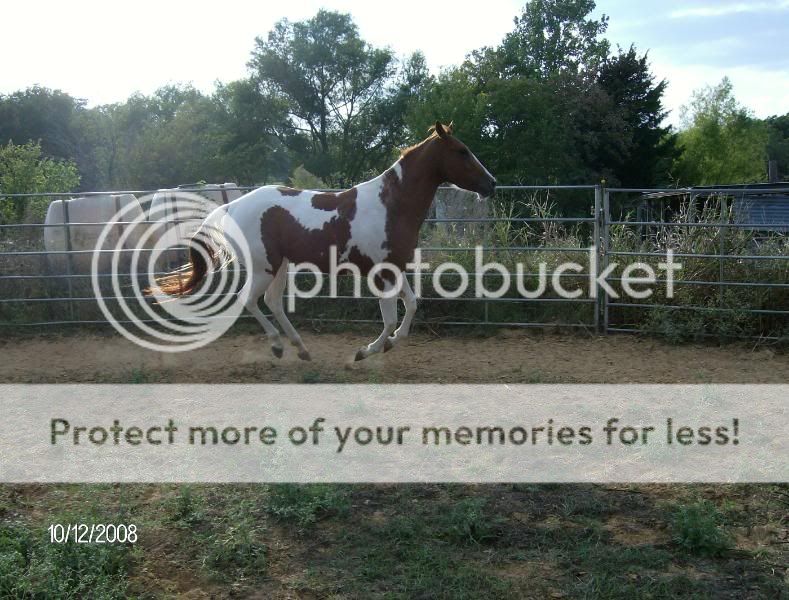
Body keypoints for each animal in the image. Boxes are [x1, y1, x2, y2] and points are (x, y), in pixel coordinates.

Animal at [152, 121, 496, 358]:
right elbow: (388, 318)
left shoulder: (396, 268)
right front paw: (365, 352)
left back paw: (301, 348)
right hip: (264, 268)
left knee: (272, 302)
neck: (391, 205)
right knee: (248, 301)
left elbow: (410, 306)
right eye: (461, 151)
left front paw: (391, 343)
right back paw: (278, 347)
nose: (491, 184)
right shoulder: (382, 273)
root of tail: (232, 206)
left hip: (281, 267)